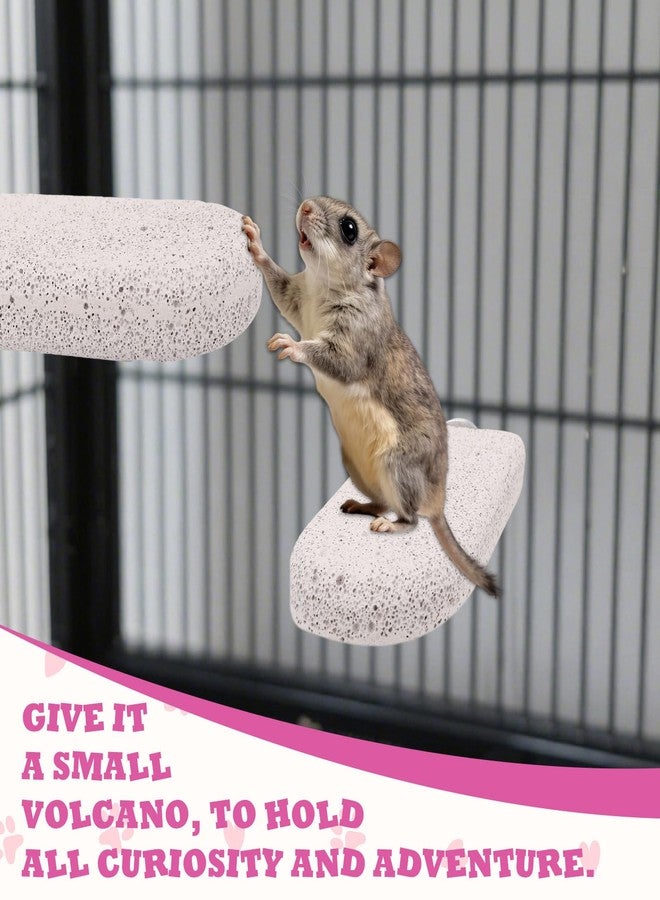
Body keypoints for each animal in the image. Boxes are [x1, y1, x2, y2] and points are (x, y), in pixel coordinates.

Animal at [242, 197, 499, 597]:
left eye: (349, 229)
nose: (306, 205)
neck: (325, 286)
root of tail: (438, 502)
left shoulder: (355, 339)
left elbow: (337, 361)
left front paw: (291, 345)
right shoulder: (297, 298)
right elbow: (277, 283)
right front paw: (255, 243)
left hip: (397, 464)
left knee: (410, 518)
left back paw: (391, 524)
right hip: (355, 464)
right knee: (382, 502)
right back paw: (361, 506)